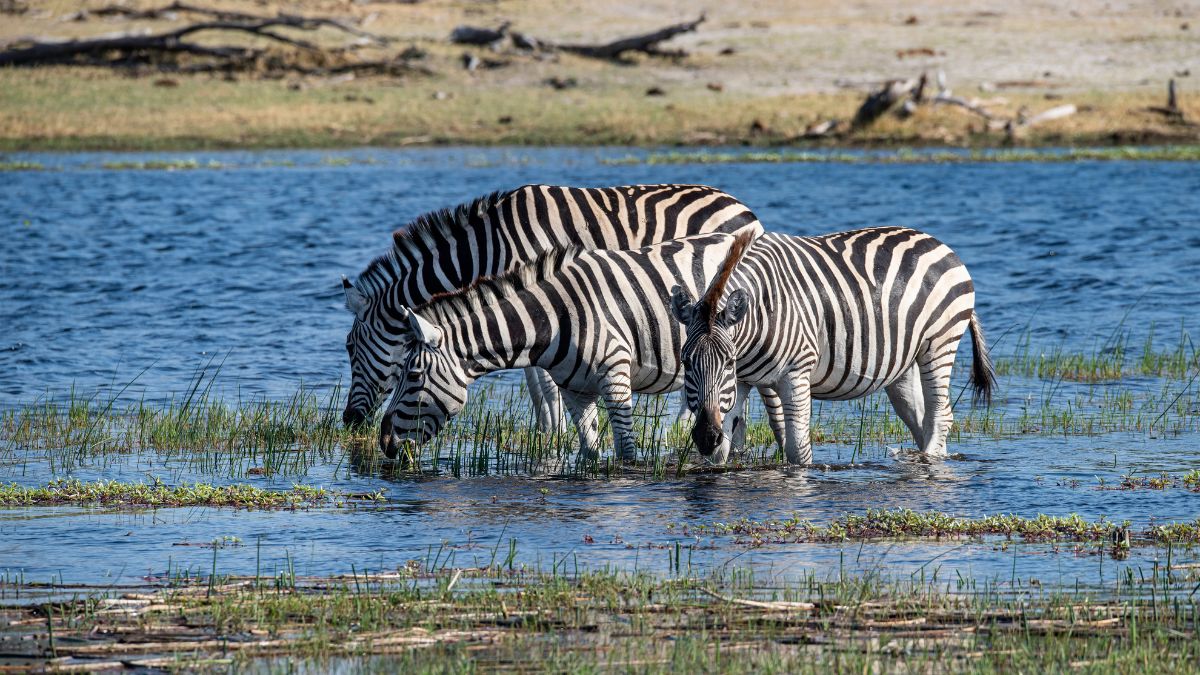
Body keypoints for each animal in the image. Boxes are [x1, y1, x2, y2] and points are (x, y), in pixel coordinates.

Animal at [340, 182, 768, 429]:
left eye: (349, 348)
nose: (348, 421)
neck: (485, 250)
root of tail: (743, 207)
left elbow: (542, 381)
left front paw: (552, 436)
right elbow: (537, 380)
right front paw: (548, 432)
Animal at [379, 228, 782, 458]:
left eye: (412, 376)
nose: (383, 442)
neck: (554, 319)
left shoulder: (616, 378)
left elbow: (626, 453)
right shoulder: (575, 389)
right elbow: (588, 452)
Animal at [672, 225, 998, 461]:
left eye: (727, 362)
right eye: (686, 362)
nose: (705, 436)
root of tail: (942, 245)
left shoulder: (796, 374)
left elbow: (798, 452)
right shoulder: (739, 382)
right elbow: (722, 452)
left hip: (939, 343)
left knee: (940, 416)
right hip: (903, 364)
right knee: (923, 421)